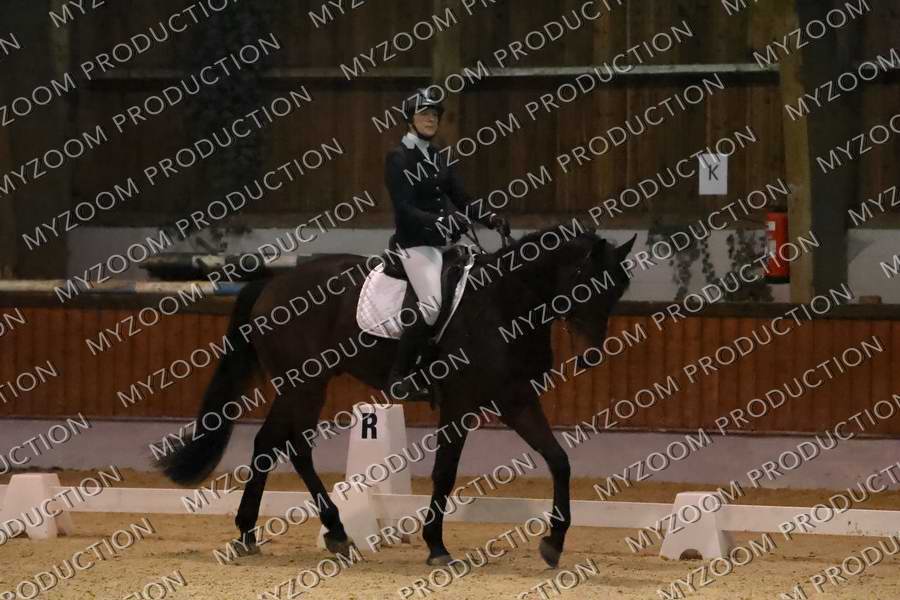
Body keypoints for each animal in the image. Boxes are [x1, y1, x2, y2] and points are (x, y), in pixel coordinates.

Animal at [158, 221, 636, 568]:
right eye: (586, 281)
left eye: (618, 289)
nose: (592, 355)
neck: (504, 305)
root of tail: (273, 283)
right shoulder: (460, 405)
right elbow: (445, 473)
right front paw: (437, 546)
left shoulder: (516, 400)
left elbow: (559, 460)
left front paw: (553, 543)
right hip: (303, 383)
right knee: (286, 446)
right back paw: (304, 532)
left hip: (304, 384)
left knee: (275, 444)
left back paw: (275, 533)